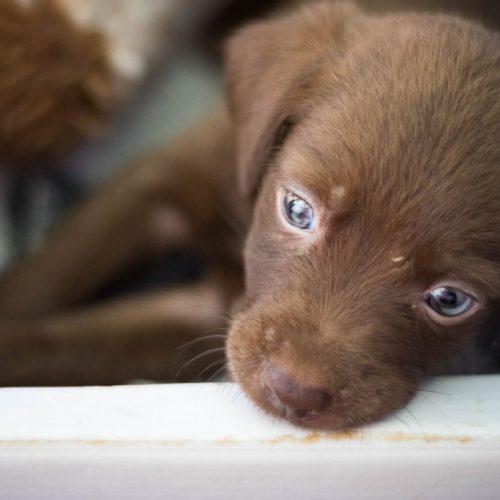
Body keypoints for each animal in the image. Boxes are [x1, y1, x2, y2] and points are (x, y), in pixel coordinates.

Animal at [0, 0, 498, 432]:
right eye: (297, 210)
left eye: (450, 300)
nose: (292, 391)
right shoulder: (163, 182)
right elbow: (44, 278)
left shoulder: (202, 317)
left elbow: (69, 346)